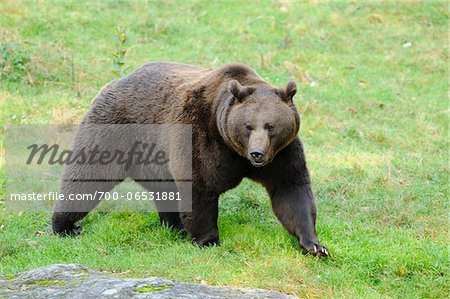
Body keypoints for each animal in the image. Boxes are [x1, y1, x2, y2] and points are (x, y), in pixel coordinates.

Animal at [51, 61, 326, 258]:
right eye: (248, 126)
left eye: (271, 126)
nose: (257, 153)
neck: (234, 149)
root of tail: (115, 81)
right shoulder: (200, 135)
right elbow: (199, 188)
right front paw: (209, 240)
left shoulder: (282, 153)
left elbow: (290, 190)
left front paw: (314, 245)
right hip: (116, 129)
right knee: (88, 176)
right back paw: (65, 225)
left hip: (155, 159)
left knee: (165, 191)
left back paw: (173, 226)